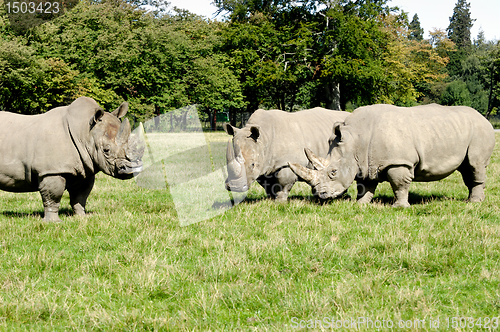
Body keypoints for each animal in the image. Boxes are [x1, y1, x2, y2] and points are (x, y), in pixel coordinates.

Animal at [0, 96, 145, 222]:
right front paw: (53, 222)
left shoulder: (85, 168)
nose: (134, 168)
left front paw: (82, 217)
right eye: (106, 150)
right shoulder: (51, 170)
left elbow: (80, 196)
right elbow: (53, 197)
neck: (85, 132)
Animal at [290, 104, 496, 206]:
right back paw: (471, 200)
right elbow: (365, 185)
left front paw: (400, 207)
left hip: (481, 131)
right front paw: (360, 204)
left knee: (475, 165)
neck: (356, 140)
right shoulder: (364, 161)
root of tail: (485, 118)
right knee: (466, 168)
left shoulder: (398, 162)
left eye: (333, 172)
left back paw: (474, 203)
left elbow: (399, 185)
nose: (320, 195)